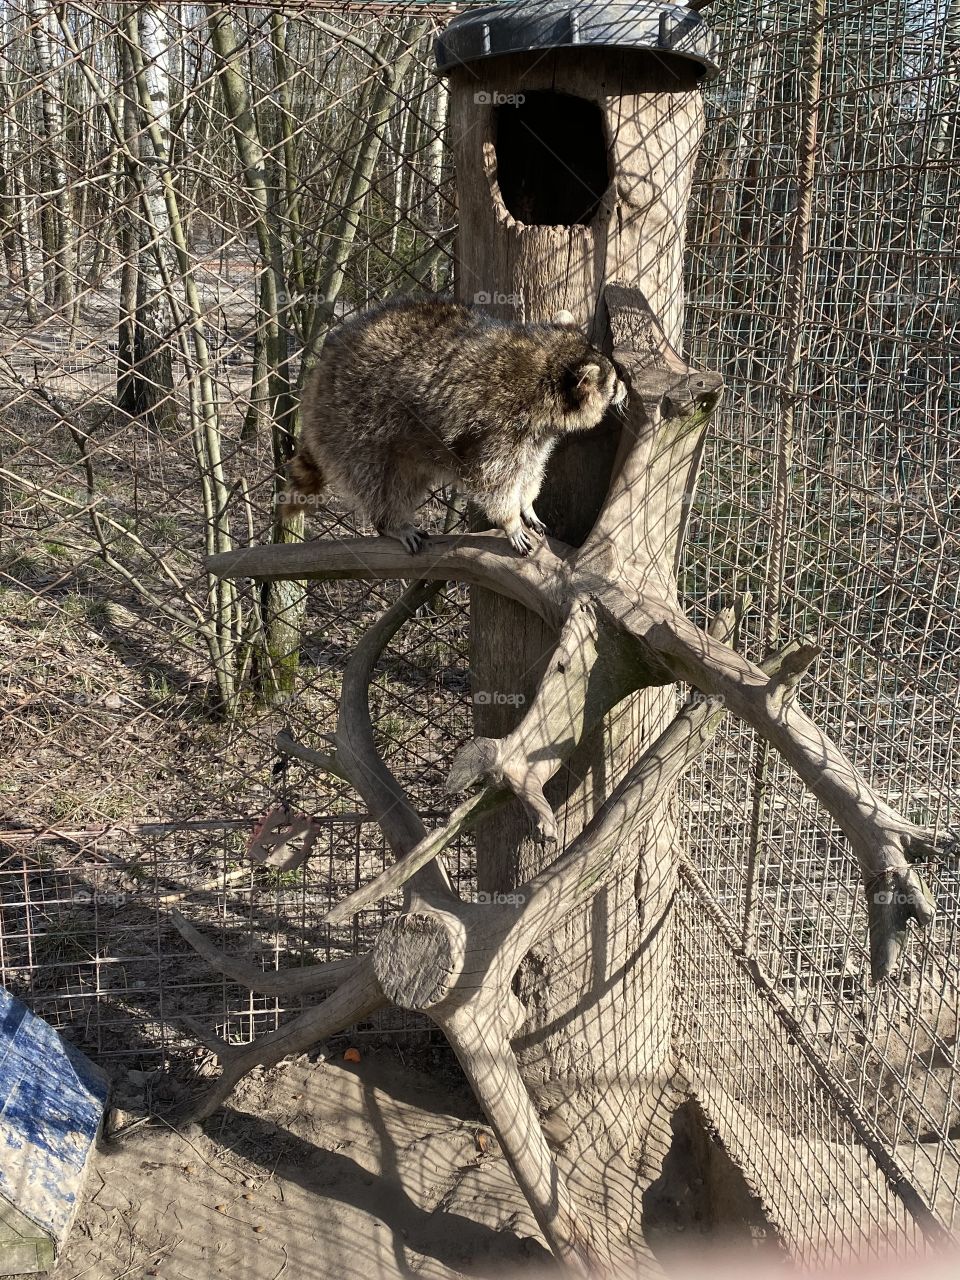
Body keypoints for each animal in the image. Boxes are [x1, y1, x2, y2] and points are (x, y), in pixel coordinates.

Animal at [288, 299, 628, 555]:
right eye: (613, 382)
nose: (625, 389)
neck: (546, 362)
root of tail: (320, 372)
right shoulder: (500, 425)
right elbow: (493, 479)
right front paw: (510, 520)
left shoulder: (534, 436)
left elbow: (530, 469)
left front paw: (526, 503)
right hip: (352, 421)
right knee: (378, 480)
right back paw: (390, 522)